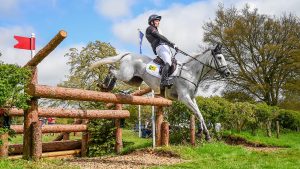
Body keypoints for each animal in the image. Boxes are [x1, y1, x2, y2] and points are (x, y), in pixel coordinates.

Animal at [90, 43, 231, 140]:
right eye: (219, 57)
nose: (228, 73)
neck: (190, 73)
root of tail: (128, 54)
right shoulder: (184, 98)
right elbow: (198, 113)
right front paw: (203, 133)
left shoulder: (192, 98)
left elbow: (199, 113)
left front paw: (204, 133)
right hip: (126, 75)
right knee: (112, 70)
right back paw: (104, 86)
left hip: (133, 80)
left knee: (114, 70)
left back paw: (106, 86)